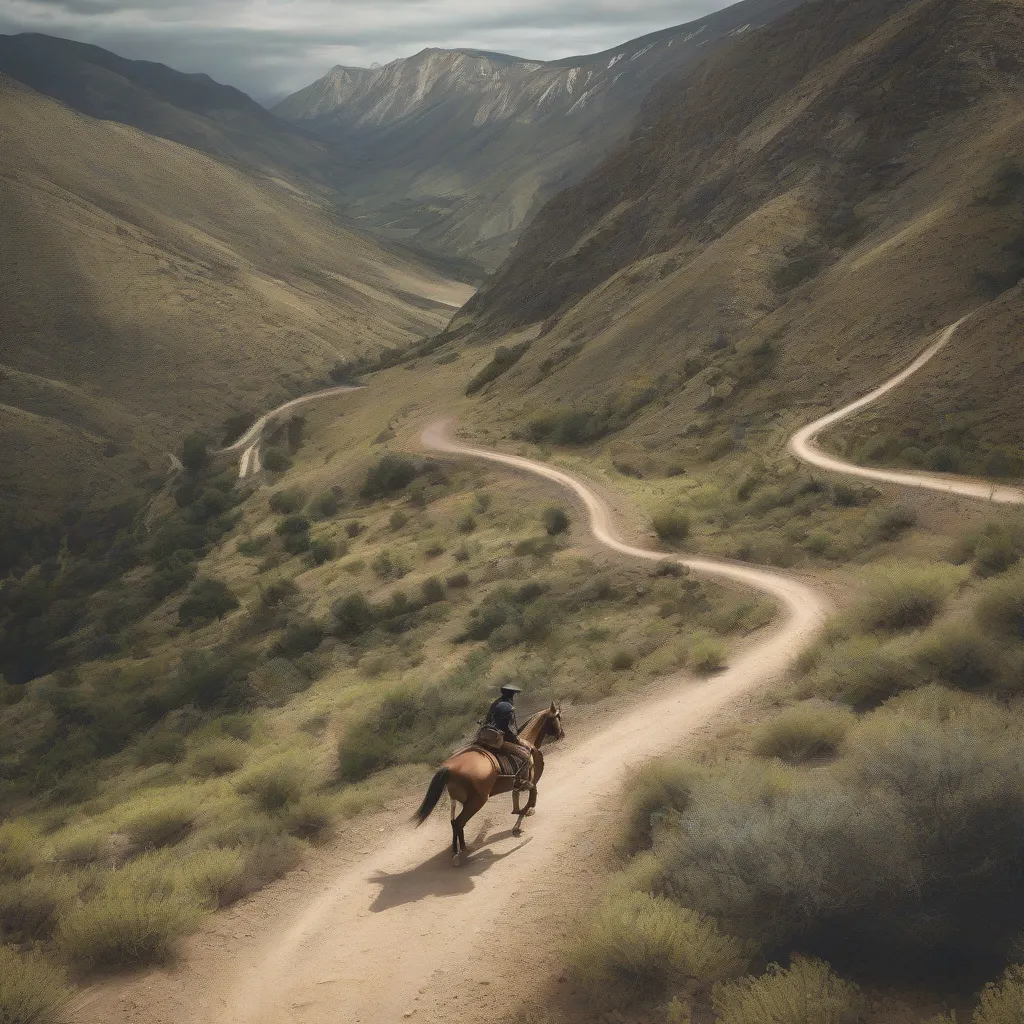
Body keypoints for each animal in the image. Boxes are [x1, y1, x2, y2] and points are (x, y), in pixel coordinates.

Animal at [411, 700, 565, 860]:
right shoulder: (532, 781)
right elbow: (530, 800)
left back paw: (456, 849)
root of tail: (448, 768)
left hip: (457, 800)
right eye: (558, 717)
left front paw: (519, 820)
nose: (562, 734)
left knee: (453, 822)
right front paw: (520, 821)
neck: (529, 741)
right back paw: (464, 851)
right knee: (459, 822)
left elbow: (521, 799)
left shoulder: (521, 784)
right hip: (476, 802)